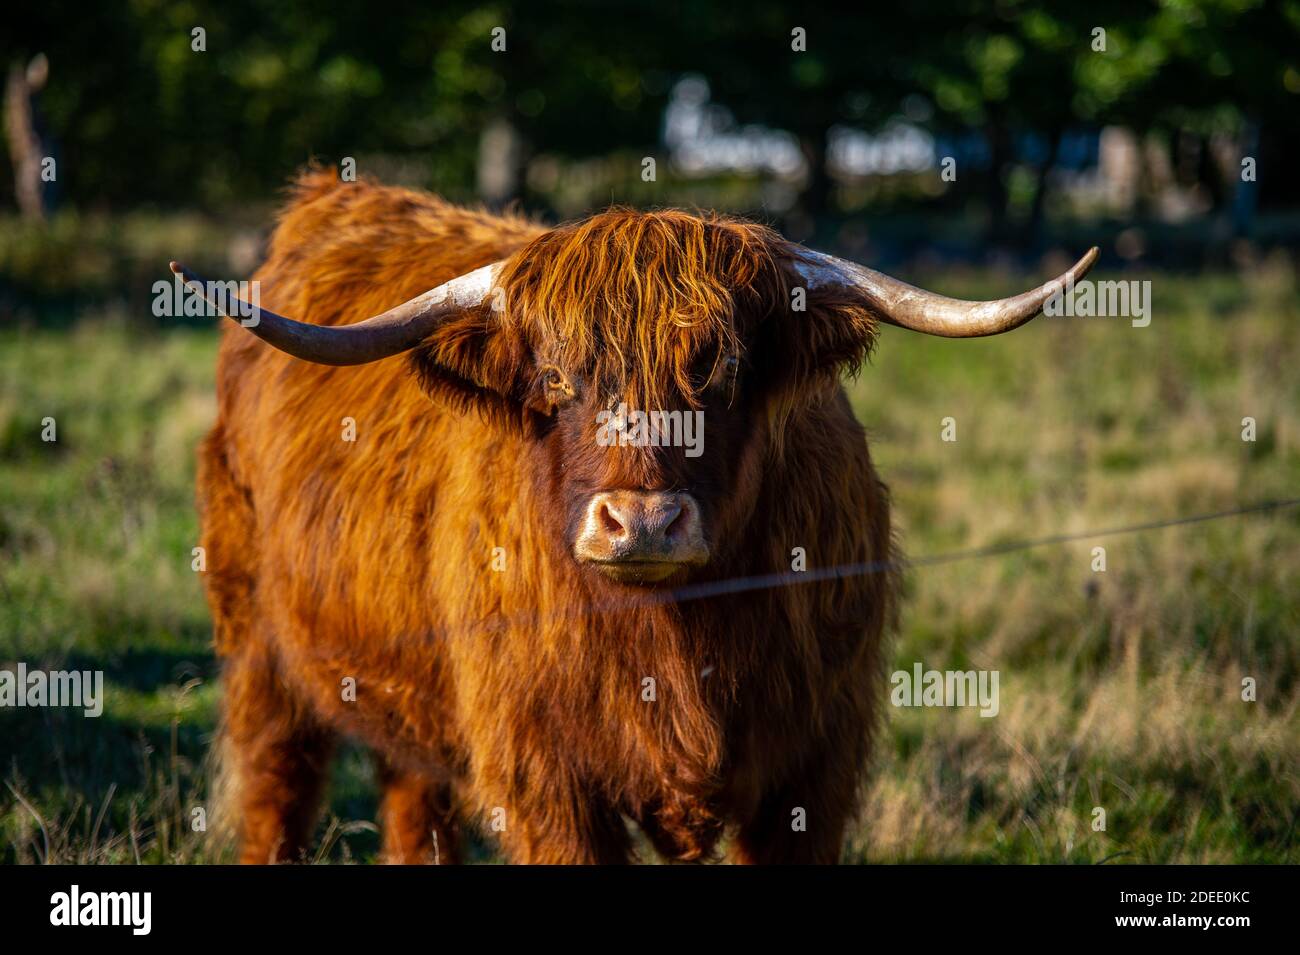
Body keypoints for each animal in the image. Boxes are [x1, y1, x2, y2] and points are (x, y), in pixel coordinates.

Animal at [175, 170, 1096, 864]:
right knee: (276, 791)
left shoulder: (814, 766)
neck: (673, 637)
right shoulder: (545, 778)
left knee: (413, 805)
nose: (642, 522)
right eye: (555, 379)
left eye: (724, 371)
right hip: (259, 653)